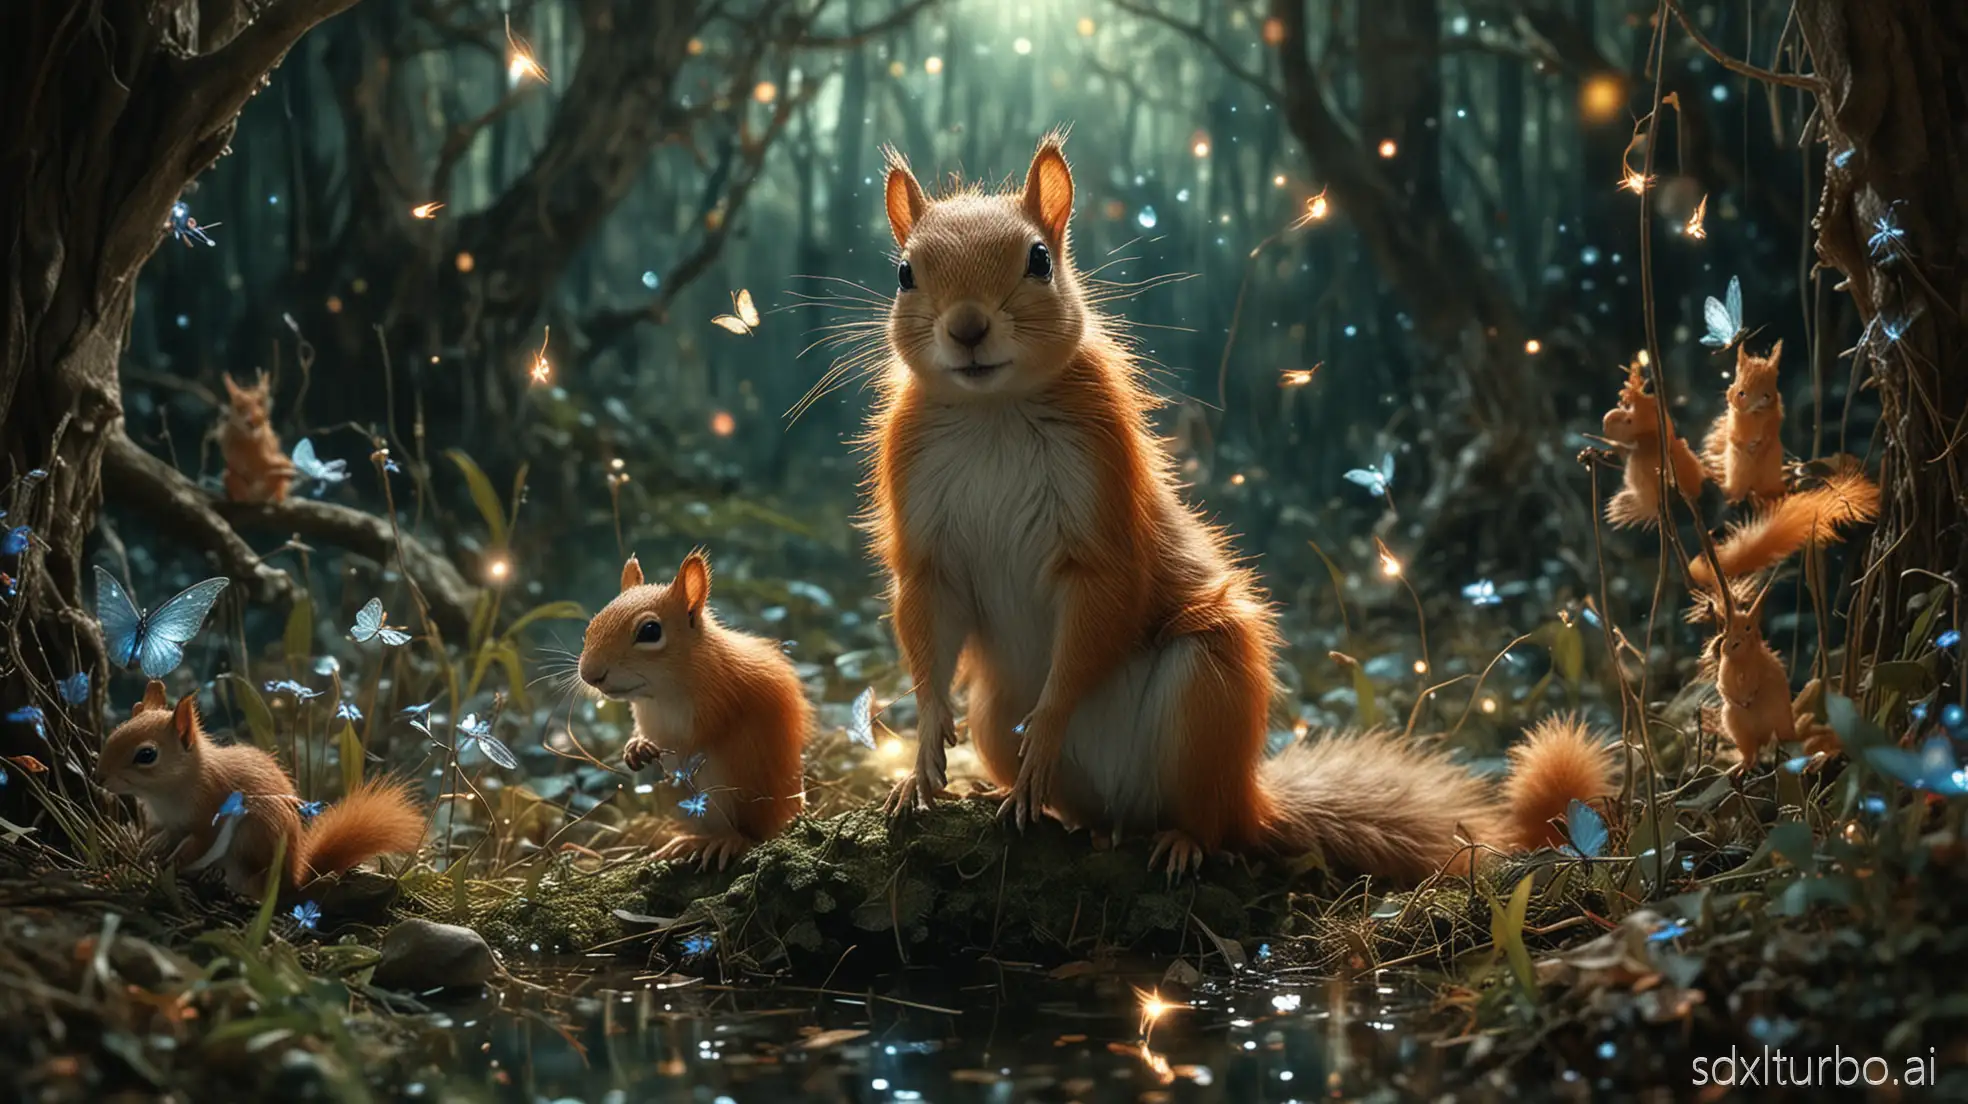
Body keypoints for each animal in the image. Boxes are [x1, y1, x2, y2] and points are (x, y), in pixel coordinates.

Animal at [98, 680, 424, 898]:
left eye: (147, 755)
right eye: (115, 730)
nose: (99, 776)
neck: (165, 793)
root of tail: (295, 877)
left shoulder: (210, 812)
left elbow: (198, 845)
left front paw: (171, 865)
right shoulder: (165, 821)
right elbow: (164, 835)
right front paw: (149, 849)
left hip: (255, 835)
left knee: (259, 886)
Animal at [578, 551, 811, 870]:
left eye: (650, 631)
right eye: (592, 625)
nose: (589, 674)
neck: (658, 695)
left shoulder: (723, 697)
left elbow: (698, 736)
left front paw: (658, 747)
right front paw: (635, 746)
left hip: (732, 786)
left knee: (748, 834)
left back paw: (724, 841)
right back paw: (685, 841)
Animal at [866, 132, 1615, 879]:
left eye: (1040, 260)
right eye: (904, 273)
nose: (967, 328)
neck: (993, 409)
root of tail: (1249, 798)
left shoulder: (1105, 513)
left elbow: (1099, 612)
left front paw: (1045, 731)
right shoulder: (925, 535)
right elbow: (926, 620)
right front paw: (921, 759)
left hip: (1207, 692)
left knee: (1206, 818)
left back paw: (1176, 839)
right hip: (998, 718)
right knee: (1092, 808)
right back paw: (1034, 802)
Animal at [1701, 341, 1787, 505]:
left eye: (1766, 395)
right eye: (1741, 393)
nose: (1750, 406)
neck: (1754, 415)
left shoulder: (1774, 420)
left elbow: (1770, 433)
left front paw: (1760, 443)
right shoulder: (1734, 423)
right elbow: (1736, 436)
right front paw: (1748, 446)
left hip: (1770, 472)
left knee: (1765, 490)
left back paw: (1773, 495)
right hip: (1737, 470)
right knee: (1739, 490)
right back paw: (1733, 497)